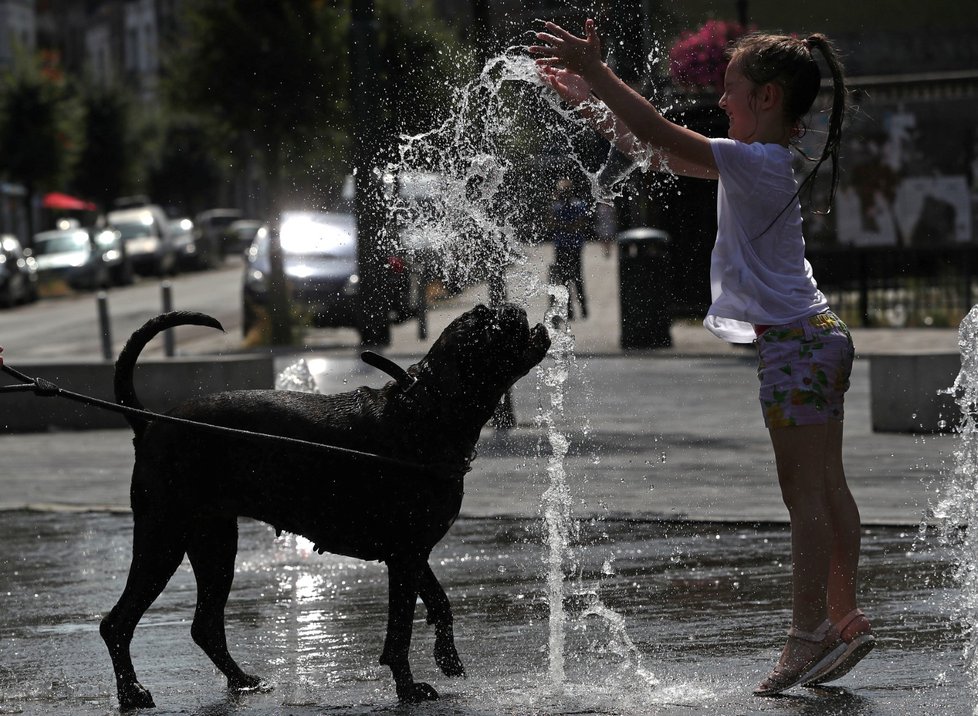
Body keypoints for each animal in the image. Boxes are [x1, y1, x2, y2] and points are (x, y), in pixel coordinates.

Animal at [99, 304, 548, 712]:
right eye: (485, 323)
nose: (511, 307)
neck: (424, 412)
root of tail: (149, 423)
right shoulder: (405, 557)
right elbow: (399, 632)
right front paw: (408, 689)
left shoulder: (413, 553)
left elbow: (440, 602)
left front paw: (447, 657)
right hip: (164, 540)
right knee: (116, 623)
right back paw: (131, 693)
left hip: (214, 545)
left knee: (205, 625)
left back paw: (242, 681)